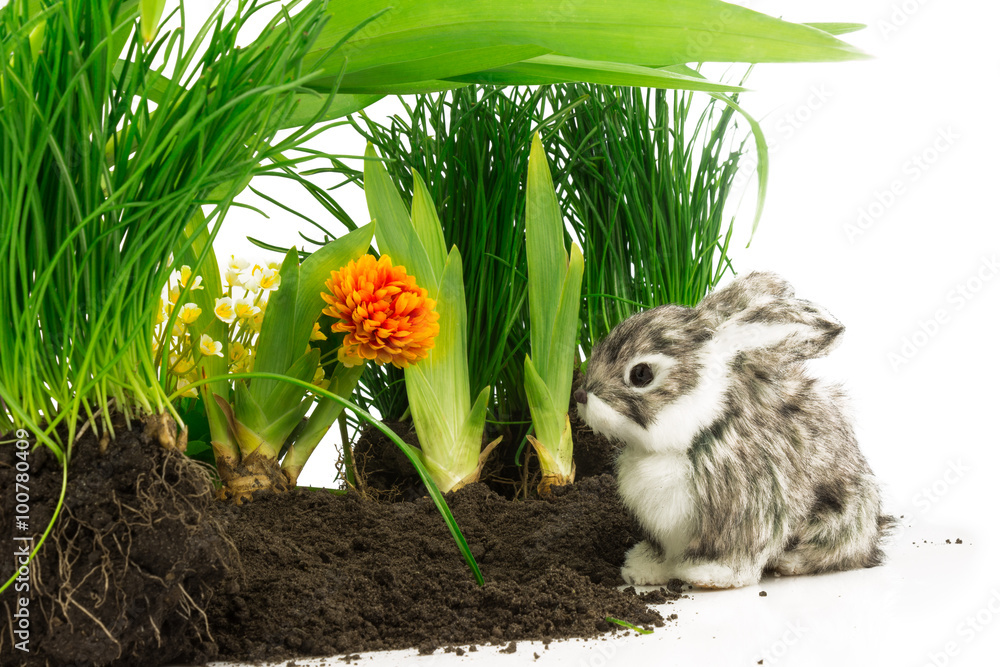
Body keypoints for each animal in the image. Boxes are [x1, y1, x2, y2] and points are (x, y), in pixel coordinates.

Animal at [574, 272, 893, 589]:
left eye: (641, 374)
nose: (580, 395)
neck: (700, 428)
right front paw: (641, 570)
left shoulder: (750, 510)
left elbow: (740, 555)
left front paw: (709, 575)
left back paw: (789, 563)